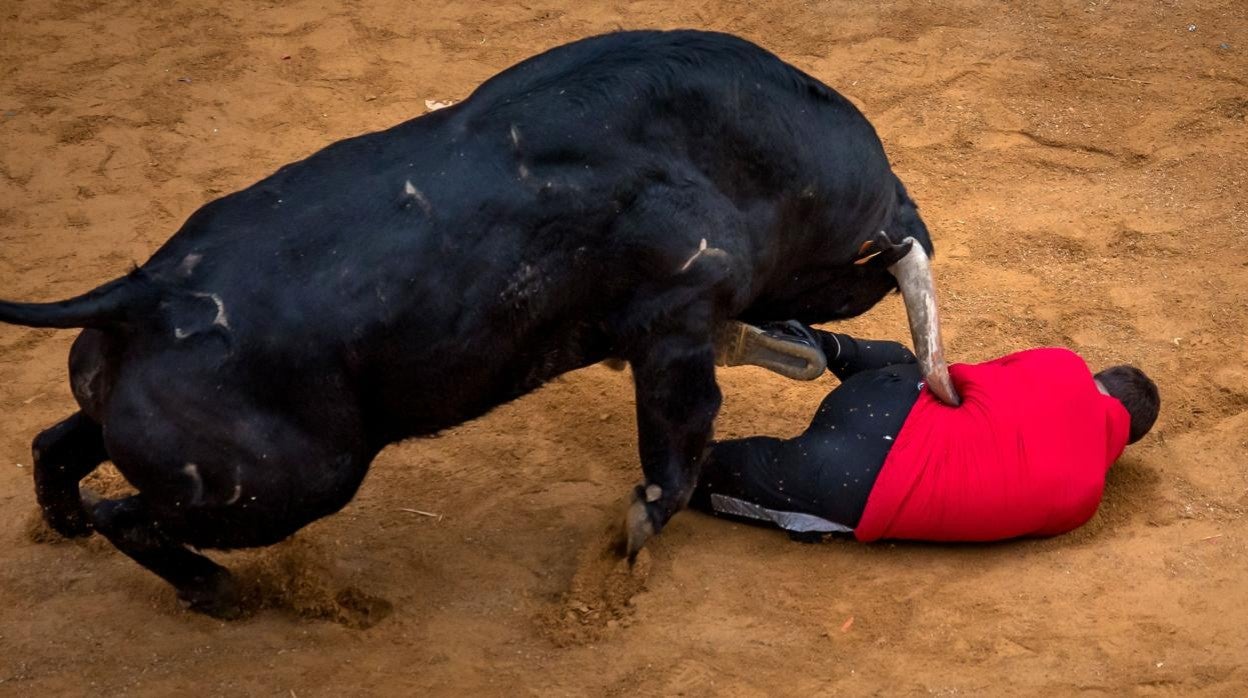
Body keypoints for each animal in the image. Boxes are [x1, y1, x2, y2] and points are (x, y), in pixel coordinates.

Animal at [0, 31, 938, 616]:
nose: (912, 223)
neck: (741, 159)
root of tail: (145, 295)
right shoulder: (675, 326)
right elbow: (677, 452)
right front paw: (627, 545)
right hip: (288, 486)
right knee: (131, 515)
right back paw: (226, 595)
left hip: (160, 433)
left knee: (58, 447)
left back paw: (69, 528)